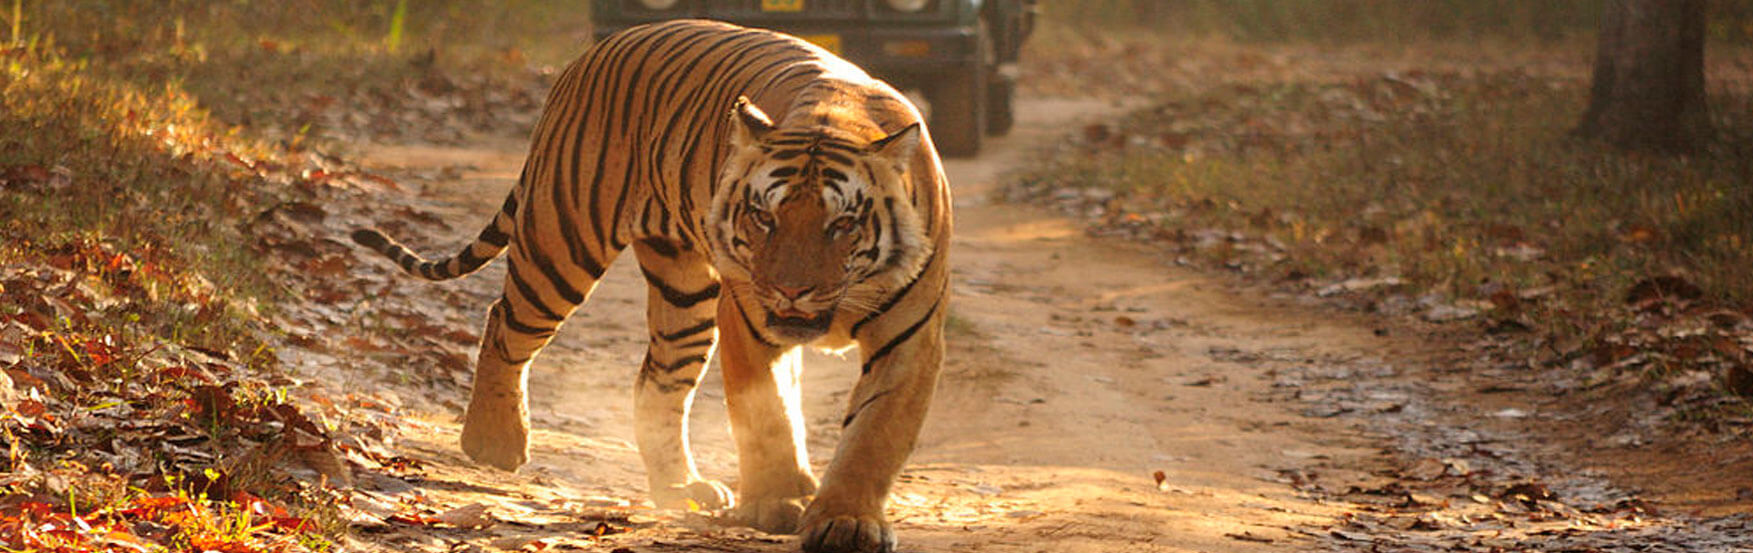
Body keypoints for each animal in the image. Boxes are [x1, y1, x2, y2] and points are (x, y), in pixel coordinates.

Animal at [348, 18, 953, 553]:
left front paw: (846, 520)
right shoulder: (749, 318)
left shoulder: (911, 336)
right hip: (563, 239)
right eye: (765, 217)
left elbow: (874, 434)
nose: (790, 291)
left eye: (842, 224)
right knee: (505, 322)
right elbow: (767, 415)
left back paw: (680, 487)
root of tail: (595, 51)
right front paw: (775, 503)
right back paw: (494, 441)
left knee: (656, 382)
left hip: (683, 292)